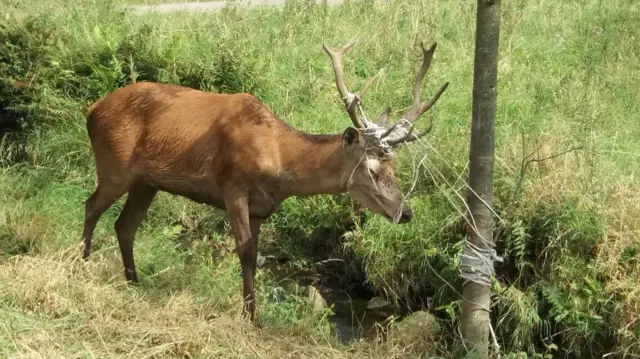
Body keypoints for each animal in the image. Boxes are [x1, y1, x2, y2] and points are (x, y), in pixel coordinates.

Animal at [82, 40, 448, 330]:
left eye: (394, 166)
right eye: (371, 169)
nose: (405, 213)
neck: (278, 160)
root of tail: (91, 109)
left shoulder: (261, 207)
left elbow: (255, 255)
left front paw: (251, 312)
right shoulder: (232, 186)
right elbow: (244, 251)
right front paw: (253, 318)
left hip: (146, 182)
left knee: (124, 225)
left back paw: (133, 282)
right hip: (114, 165)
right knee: (92, 205)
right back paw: (82, 264)